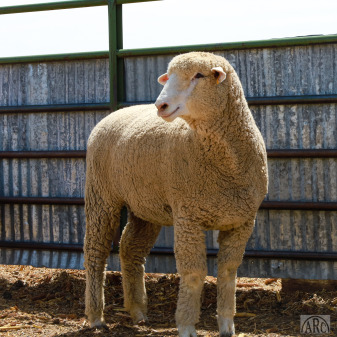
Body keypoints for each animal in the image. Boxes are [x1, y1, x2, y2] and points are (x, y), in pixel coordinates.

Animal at [83, 50, 268, 336]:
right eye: (168, 77)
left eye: (198, 75)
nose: (161, 106)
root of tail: (114, 114)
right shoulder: (187, 216)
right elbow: (193, 272)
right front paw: (187, 325)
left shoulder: (242, 221)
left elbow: (228, 270)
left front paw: (227, 324)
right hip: (101, 194)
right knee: (96, 250)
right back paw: (95, 316)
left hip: (145, 205)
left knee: (130, 248)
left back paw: (138, 311)